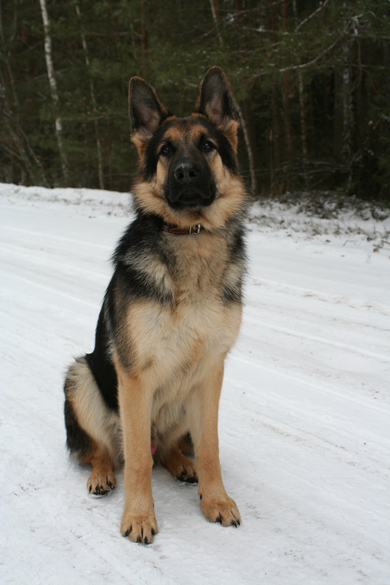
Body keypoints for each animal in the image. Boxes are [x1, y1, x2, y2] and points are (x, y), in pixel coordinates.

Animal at [64, 67, 247, 544]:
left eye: (207, 145)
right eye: (165, 151)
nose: (185, 172)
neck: (192, 236)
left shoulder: (211, 371)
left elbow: (209, 448)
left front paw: (216, 499)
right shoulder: (134, 376)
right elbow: (139, 462)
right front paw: (140, 515)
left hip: (182, 401)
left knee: (165, 448)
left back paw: (182, 465)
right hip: (81, 376)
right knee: (105, 451)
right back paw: (103, 475)